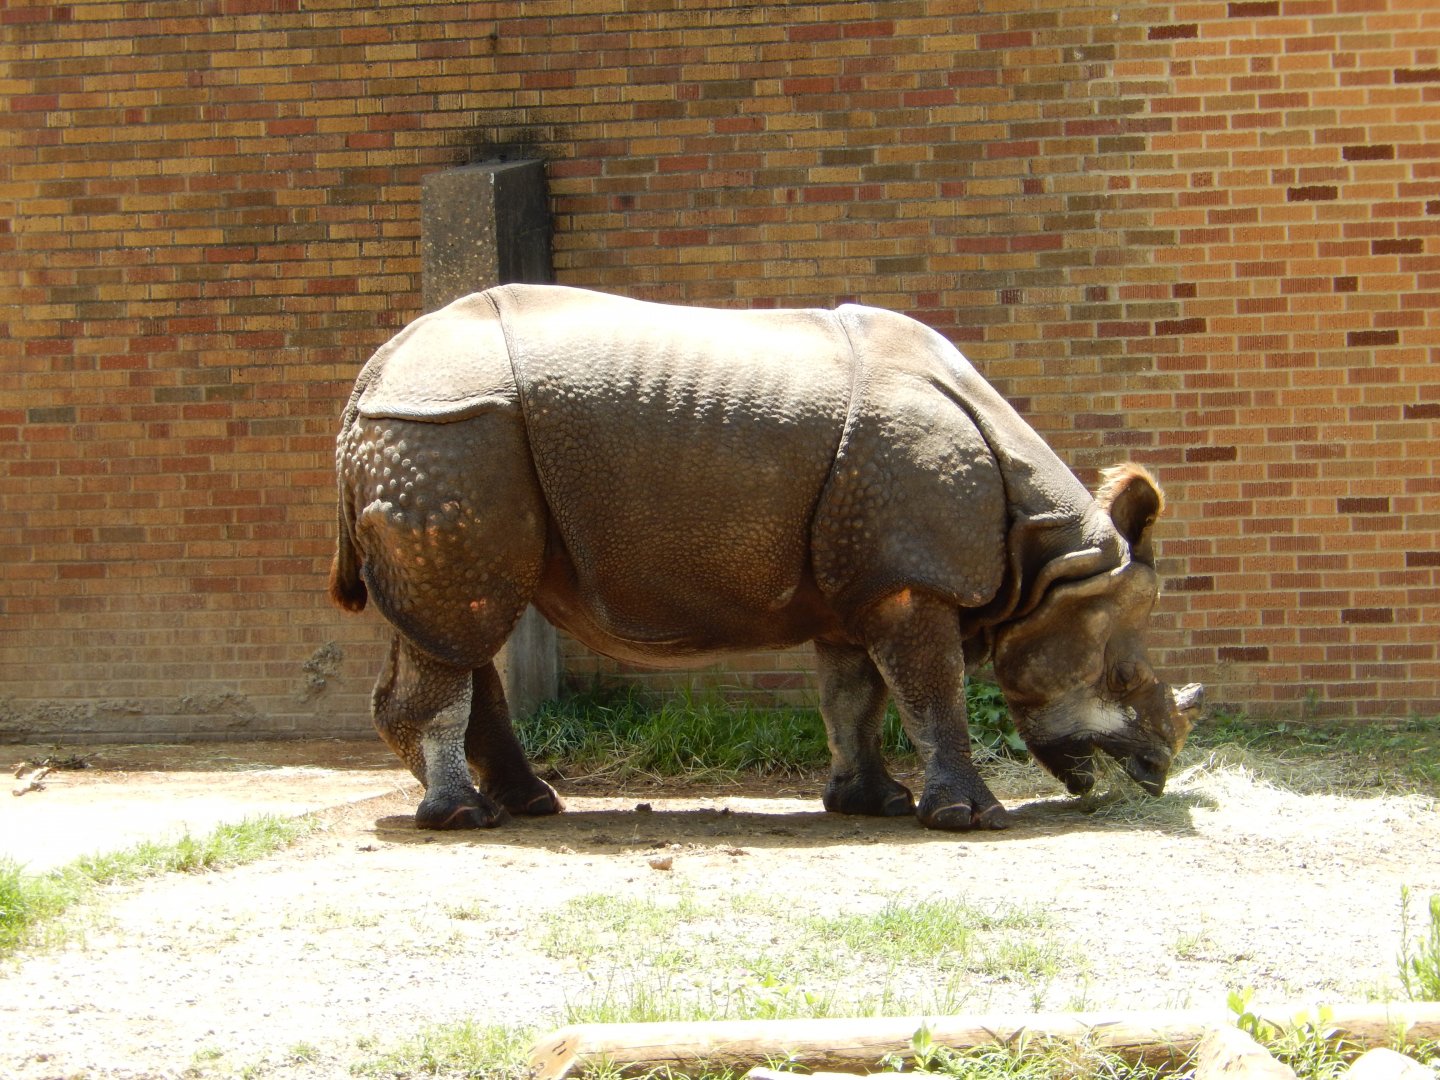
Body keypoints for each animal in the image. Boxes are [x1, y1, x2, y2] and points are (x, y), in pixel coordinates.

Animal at [330, 284, 1202, 831]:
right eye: (1124, 678)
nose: (1157, 771)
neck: (1046, 564)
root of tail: (371, 378)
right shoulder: (911, 577)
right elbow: (934, 692)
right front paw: (971, 817)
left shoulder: (864, 580)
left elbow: (857, 698)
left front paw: (873, 804)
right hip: (449, 432)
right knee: (461, 625)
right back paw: (464, 817)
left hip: (450, 438)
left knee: (462, 626)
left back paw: (527, 805)